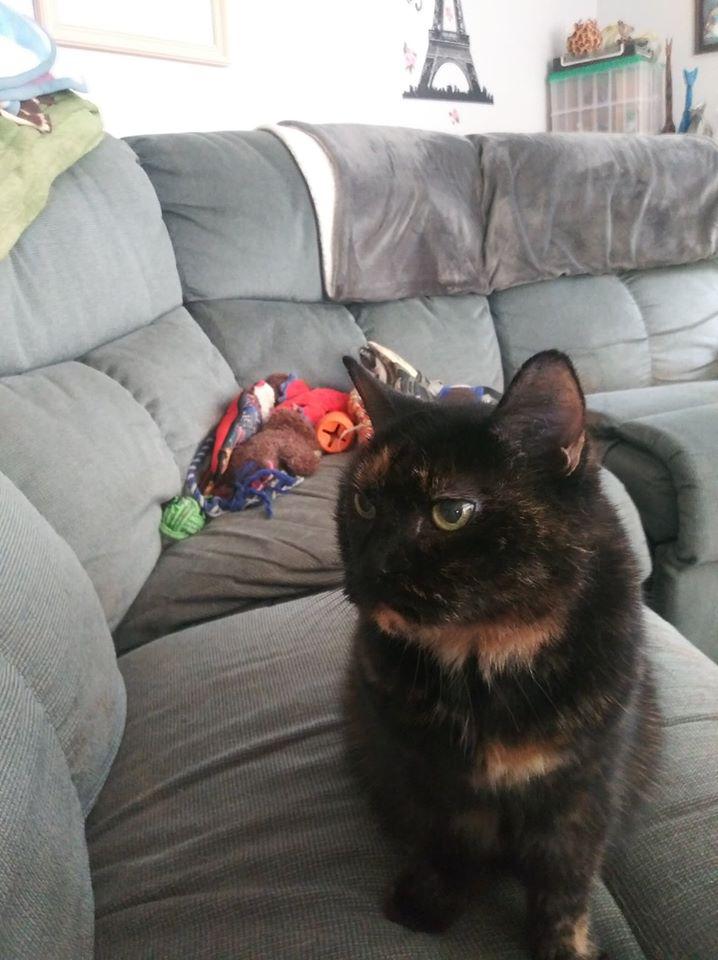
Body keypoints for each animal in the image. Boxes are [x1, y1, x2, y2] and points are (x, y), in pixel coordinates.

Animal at [337, 350, 660, 960]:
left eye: (452, 512)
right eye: (364, 503)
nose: (370, 568)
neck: (483, 660)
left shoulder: (584, 787)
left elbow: (564, 883)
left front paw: (563, 948)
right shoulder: (433, 778)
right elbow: (449, 846)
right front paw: (428, 906)